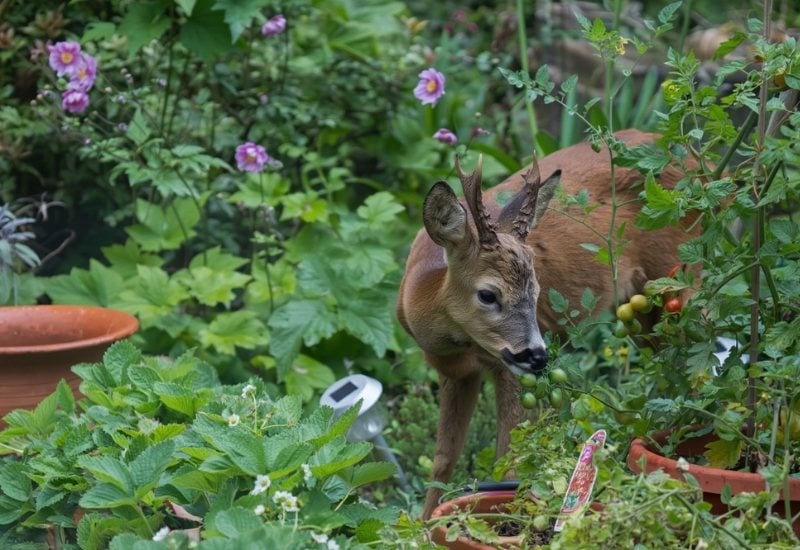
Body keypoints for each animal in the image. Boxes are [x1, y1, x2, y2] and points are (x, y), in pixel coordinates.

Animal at [396, 129, 700, 519]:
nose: (538, 356)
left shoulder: (506, 369)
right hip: (644, 310)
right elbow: (442, 460)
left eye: (537, 289)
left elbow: (509, 458)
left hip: (681, 276)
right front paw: (424, 524)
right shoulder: (453, 372)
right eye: (488, 294)